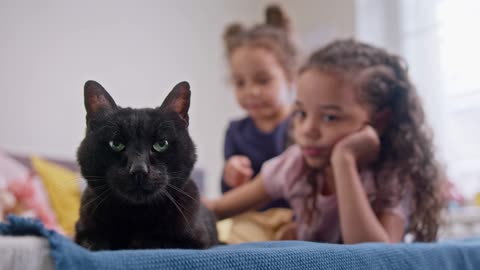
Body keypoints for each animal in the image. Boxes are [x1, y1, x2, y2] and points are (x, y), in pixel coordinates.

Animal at [74, 80, 218, 251]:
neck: (136, 216)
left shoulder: (194, 242)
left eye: (161, 144)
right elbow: (92, 243)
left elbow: (157, 242)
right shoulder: (82, 232)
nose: (139, 169)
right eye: (115, 144)